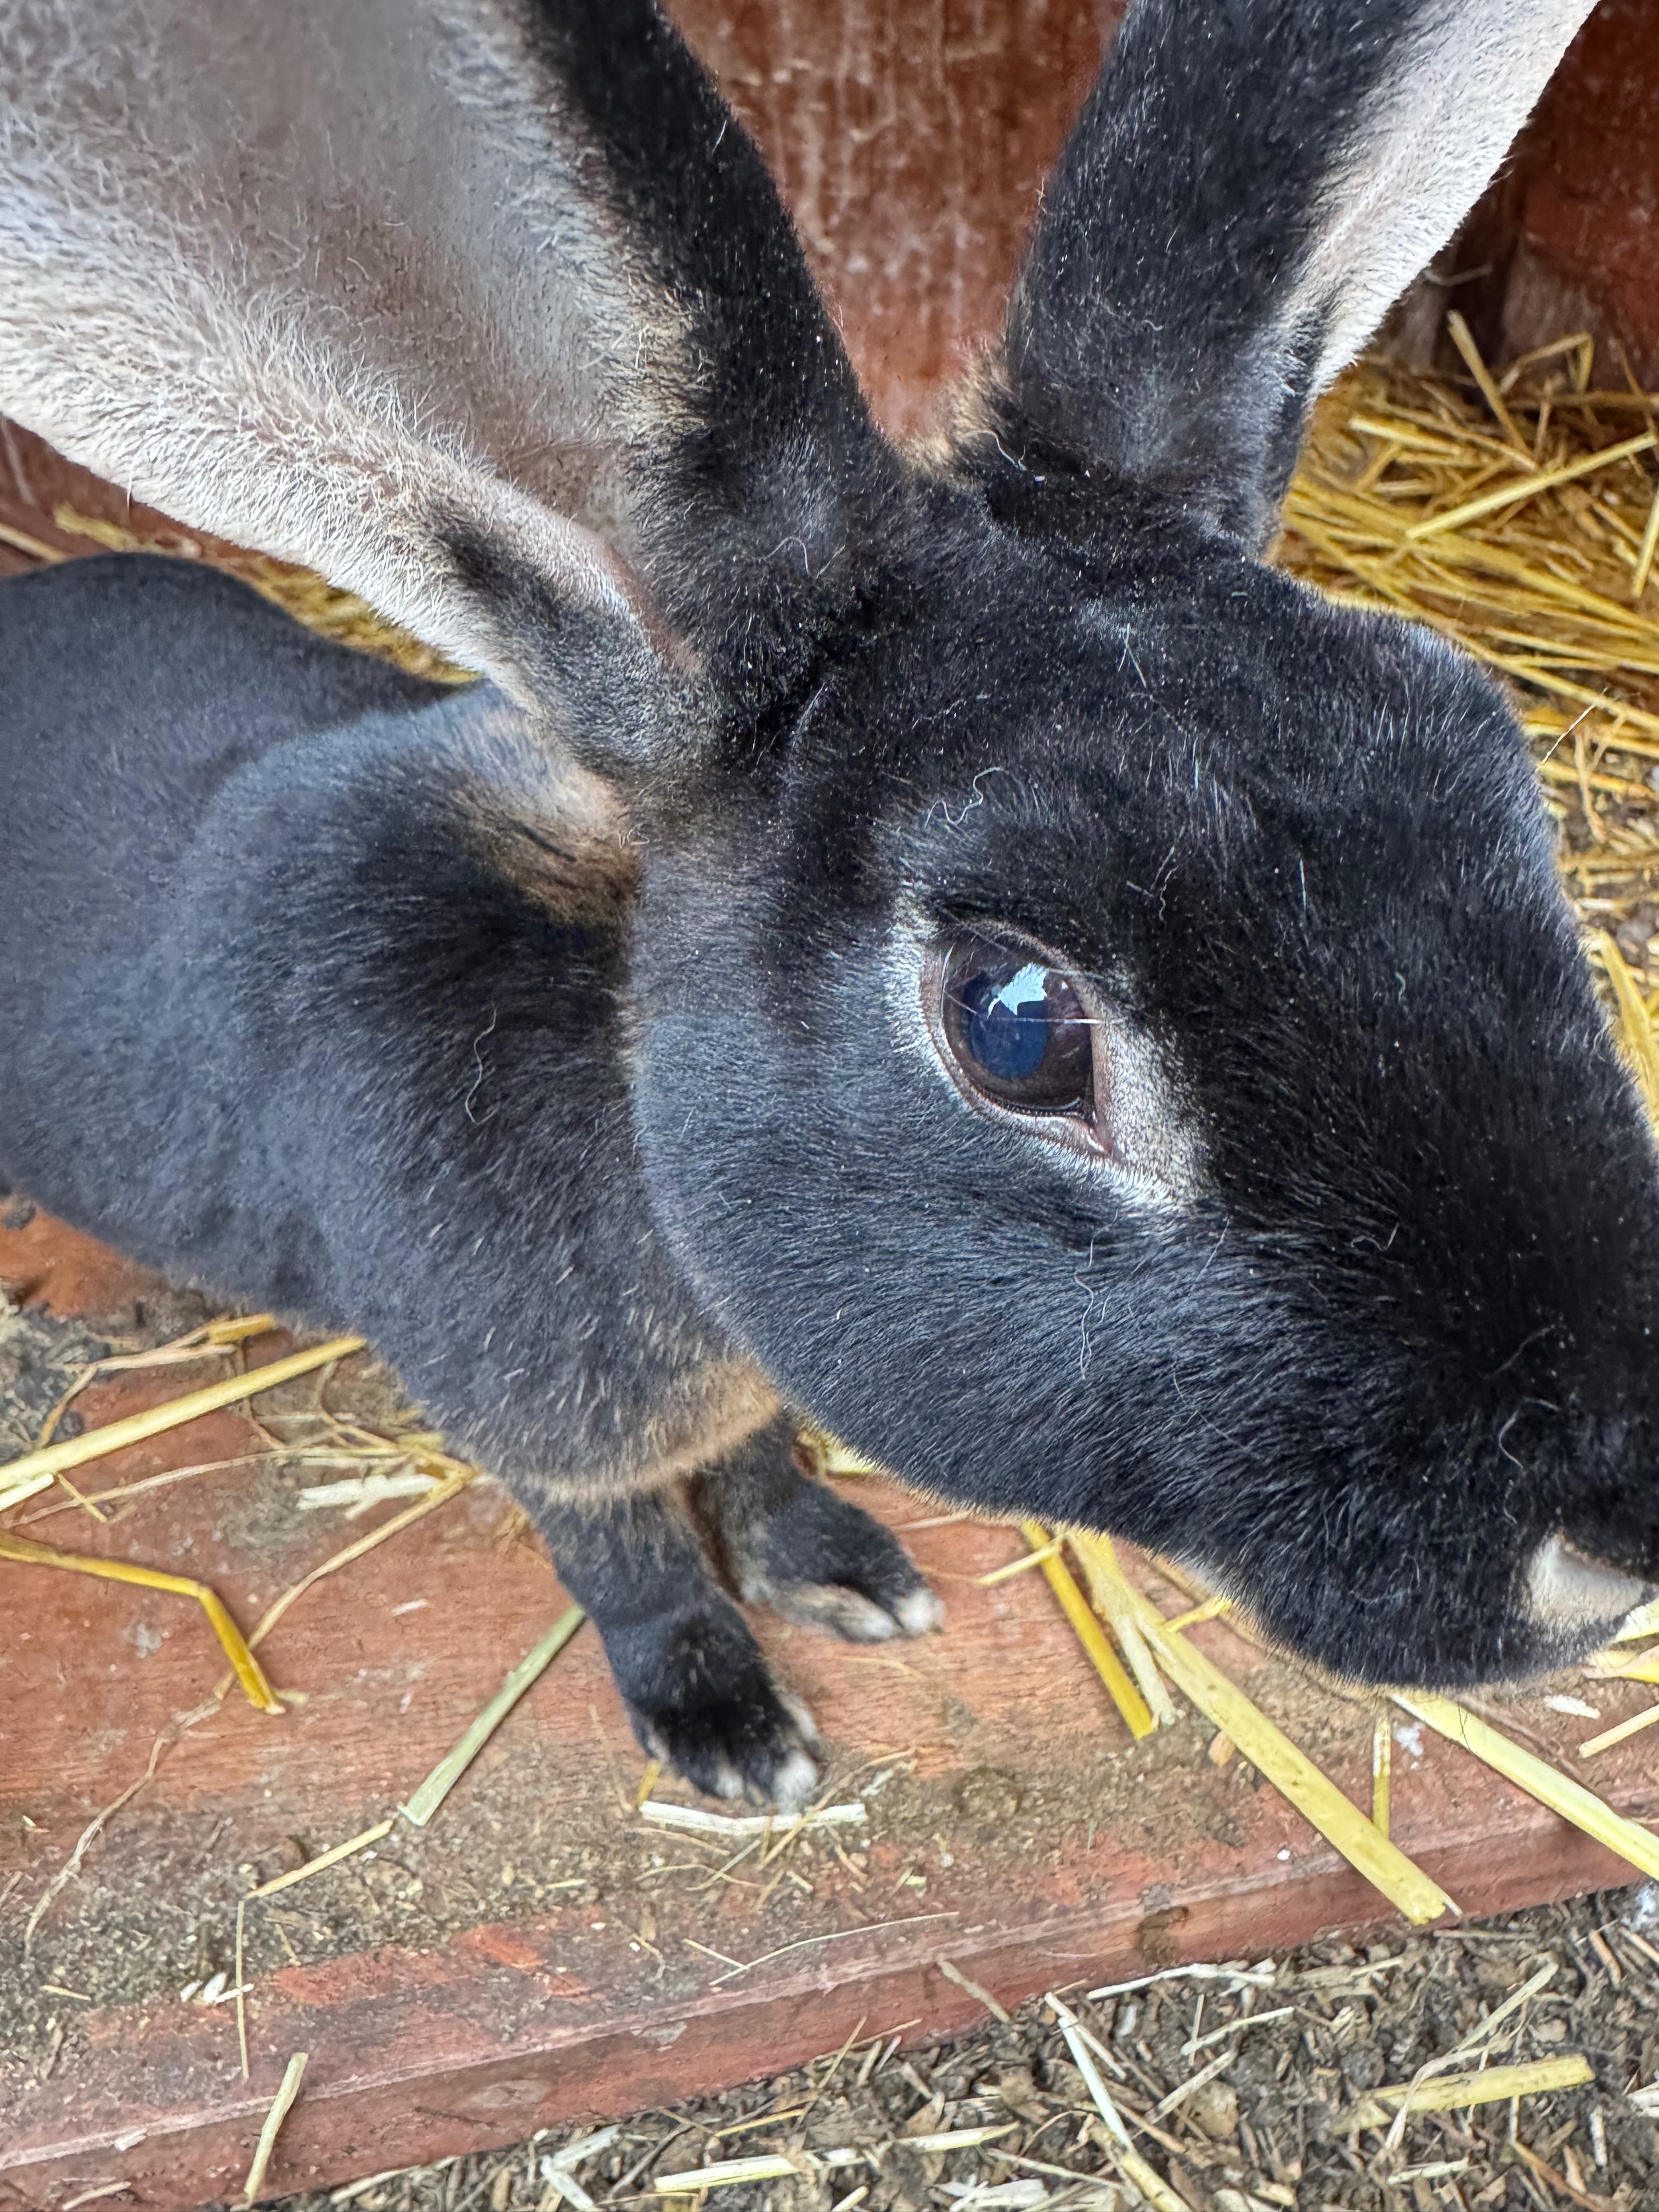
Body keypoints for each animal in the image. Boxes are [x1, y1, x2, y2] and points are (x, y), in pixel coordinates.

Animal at [0, 0, 1652, 1814]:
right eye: (1017, 1024)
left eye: (1483, 756)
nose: (1626, 1524)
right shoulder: (553, 1433)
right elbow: (626, 1564)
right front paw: (733, 1728)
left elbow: (765, 1459)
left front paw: (845, 1570)